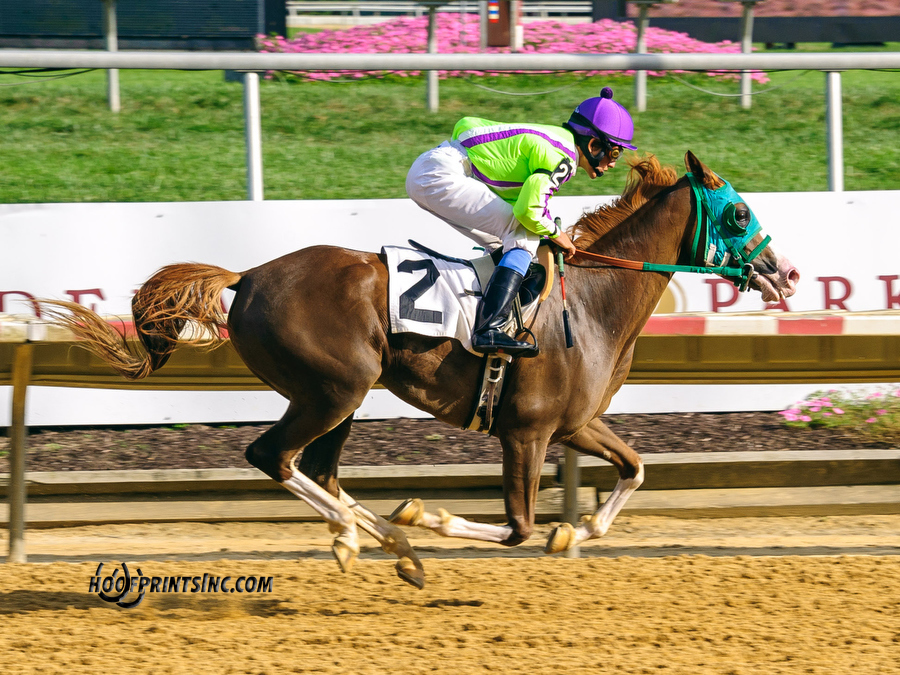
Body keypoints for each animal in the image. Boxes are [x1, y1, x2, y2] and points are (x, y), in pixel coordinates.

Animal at [41, 152, 799, 590]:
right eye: (738, 212)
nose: (785, 271)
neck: (590, 299)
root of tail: (248, 274)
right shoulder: (524, 432)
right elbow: (517, 528)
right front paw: (426, 512)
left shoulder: (572, 424)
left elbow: (635, 469)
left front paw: (576, 532)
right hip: (333, 388)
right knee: (274, 457)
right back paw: (371, 535)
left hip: (339, 397)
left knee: (321, 470)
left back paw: (386, 544)